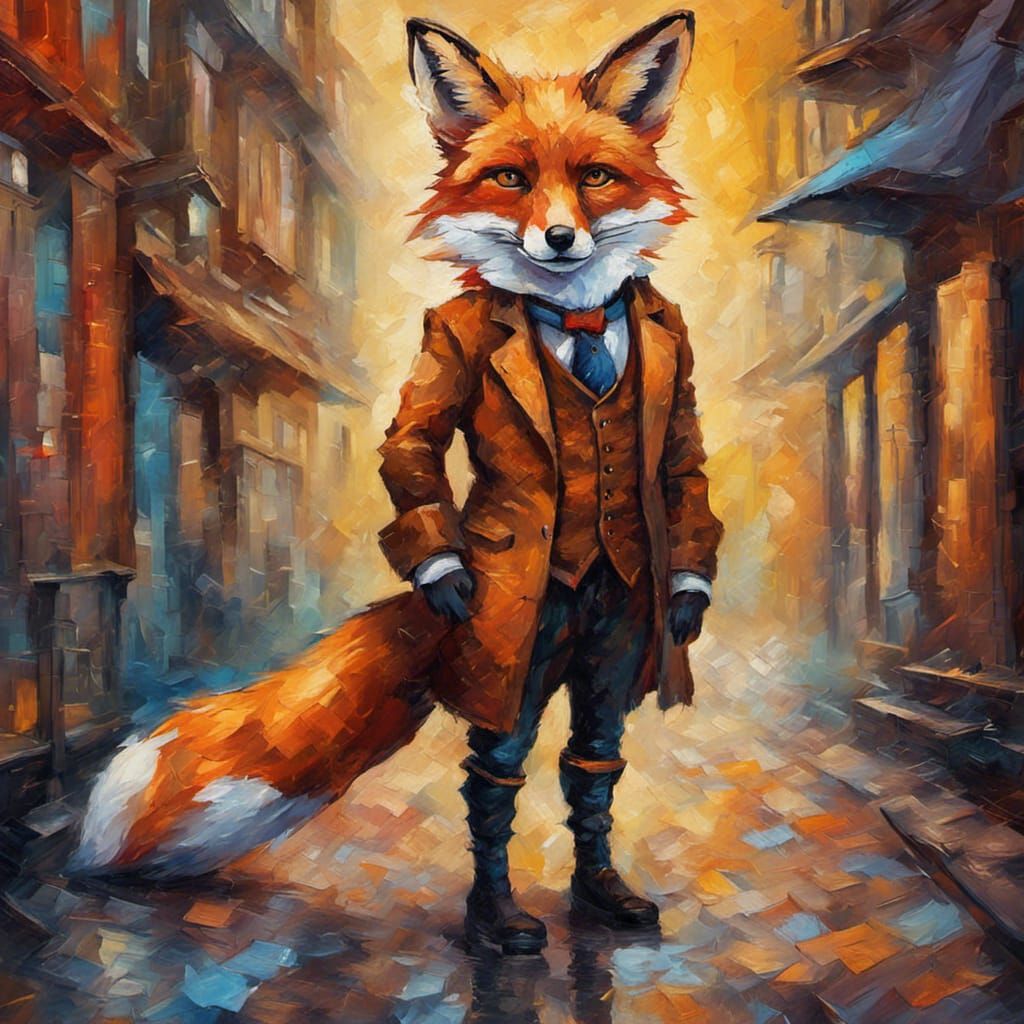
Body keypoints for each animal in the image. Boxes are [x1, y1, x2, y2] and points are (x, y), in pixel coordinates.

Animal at [72, 13, 722, 957]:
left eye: (595, 177)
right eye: (511, 178)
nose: (561, 240)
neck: (577, 316)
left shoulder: (668, 433)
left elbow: (681, 468)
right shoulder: (442, 365)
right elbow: (413, 441)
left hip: (610, 646)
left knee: (591, 761)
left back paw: (599, 892)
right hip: (522, 659)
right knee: (495, 774)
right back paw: (497, 920)